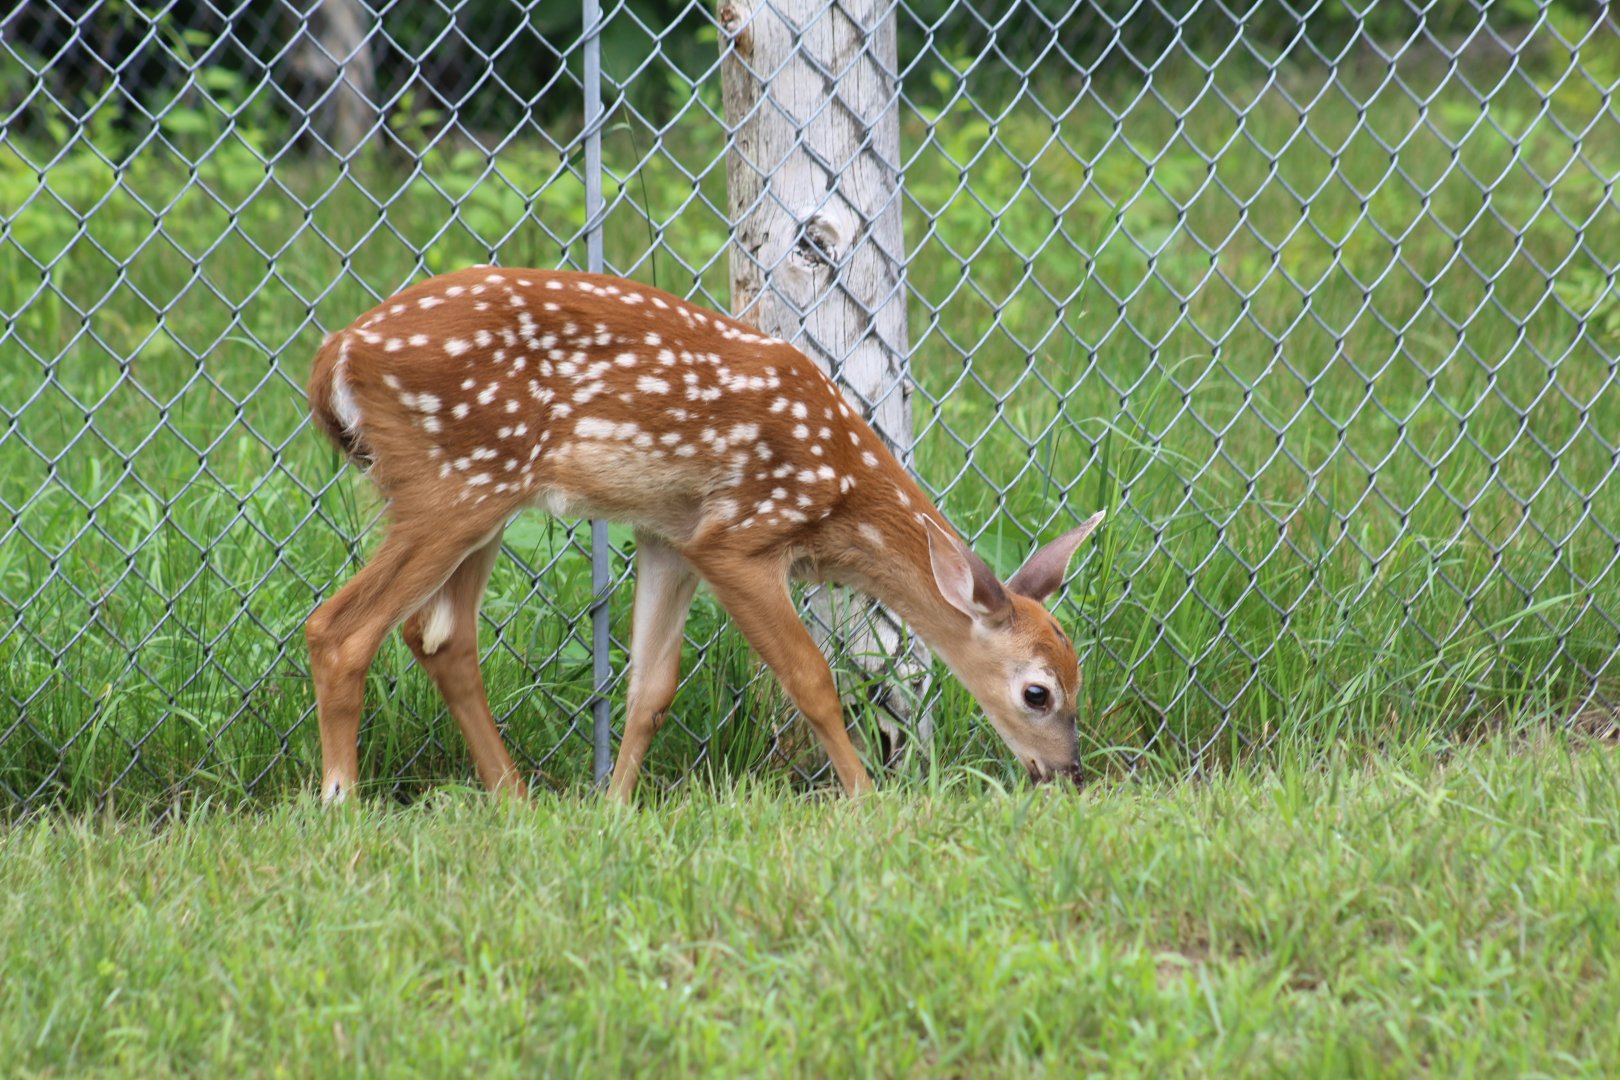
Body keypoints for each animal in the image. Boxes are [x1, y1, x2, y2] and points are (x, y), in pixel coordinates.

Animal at [304, 266, 1105, 803]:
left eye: (1078, 679)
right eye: (1038, 693)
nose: (1067, 773)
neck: (840, 492)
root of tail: (335, 355)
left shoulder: (672, 532)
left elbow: (650, 687)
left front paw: (614, 809)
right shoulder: (739, 535)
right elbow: (812, 678)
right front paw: (864, 798)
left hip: (481, 497)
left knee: (442, 636)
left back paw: (517, 801)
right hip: (454, 481)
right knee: (340, 627)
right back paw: (342, 801)